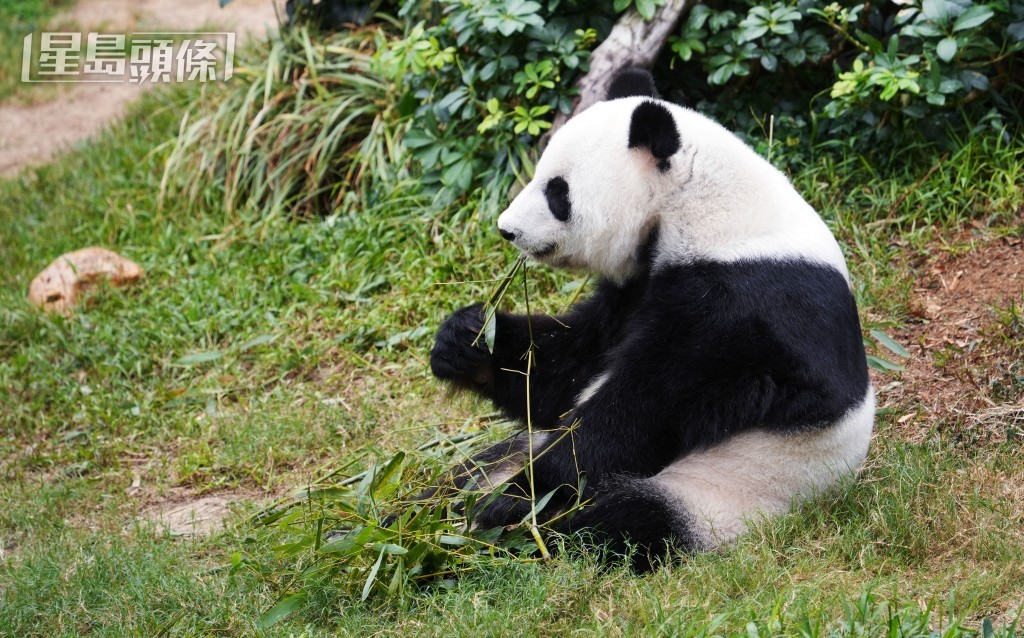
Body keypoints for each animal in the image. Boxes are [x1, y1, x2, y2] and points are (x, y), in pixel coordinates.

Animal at [425, 67, 872, 573]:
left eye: (558, 192)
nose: (507, 229)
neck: (700, 205)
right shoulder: (636, 287)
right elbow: (568, 368)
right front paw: (465, 340)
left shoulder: (741, 307)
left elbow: (639, 411)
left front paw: (516, 499)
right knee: (461, 478)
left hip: (730, 491)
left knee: (619, 524)